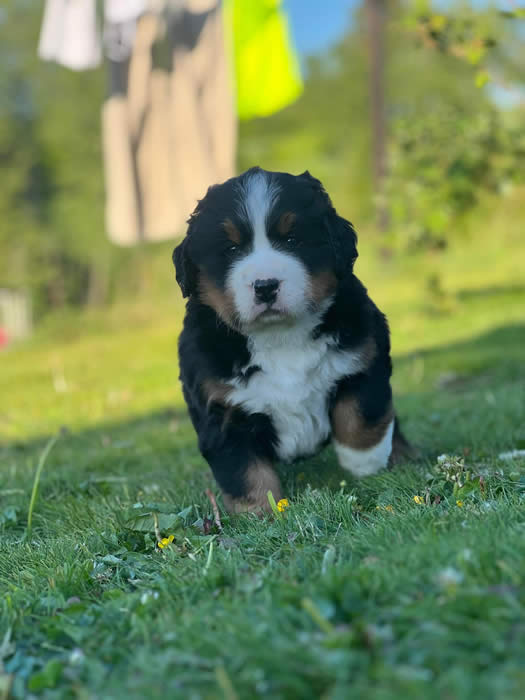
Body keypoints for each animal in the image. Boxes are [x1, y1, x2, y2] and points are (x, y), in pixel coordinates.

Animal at [172, 167, 410, 512]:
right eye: (231, 250)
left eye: (292, 240)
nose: (265, 285)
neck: (280, 337)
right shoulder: (221, 408)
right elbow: (243, 470)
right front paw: (259, 512)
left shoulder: (363, 360)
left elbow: (360, 421)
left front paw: (367, 466)